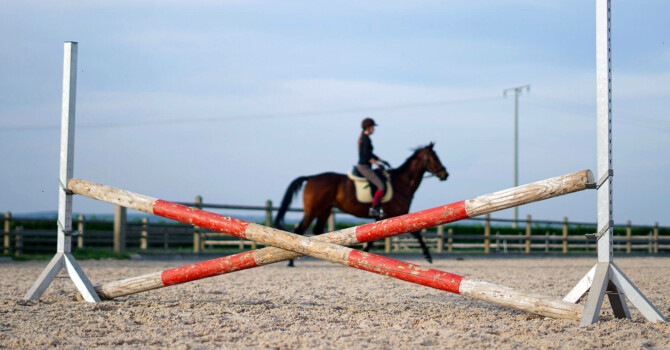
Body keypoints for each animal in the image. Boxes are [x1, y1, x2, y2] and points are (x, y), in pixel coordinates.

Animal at [272, 142, 452, 266]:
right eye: (434, 157)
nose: (445, 174)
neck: (401, 183)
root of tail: (311, 177)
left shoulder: (383, 218)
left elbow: (372, 239)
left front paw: (364, 255)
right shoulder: (398, 214)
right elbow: (417, 233)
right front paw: (428, 256)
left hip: (325, 210)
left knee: (317, 231)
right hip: (313, 210)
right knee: (300, 230)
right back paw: (291, 262)